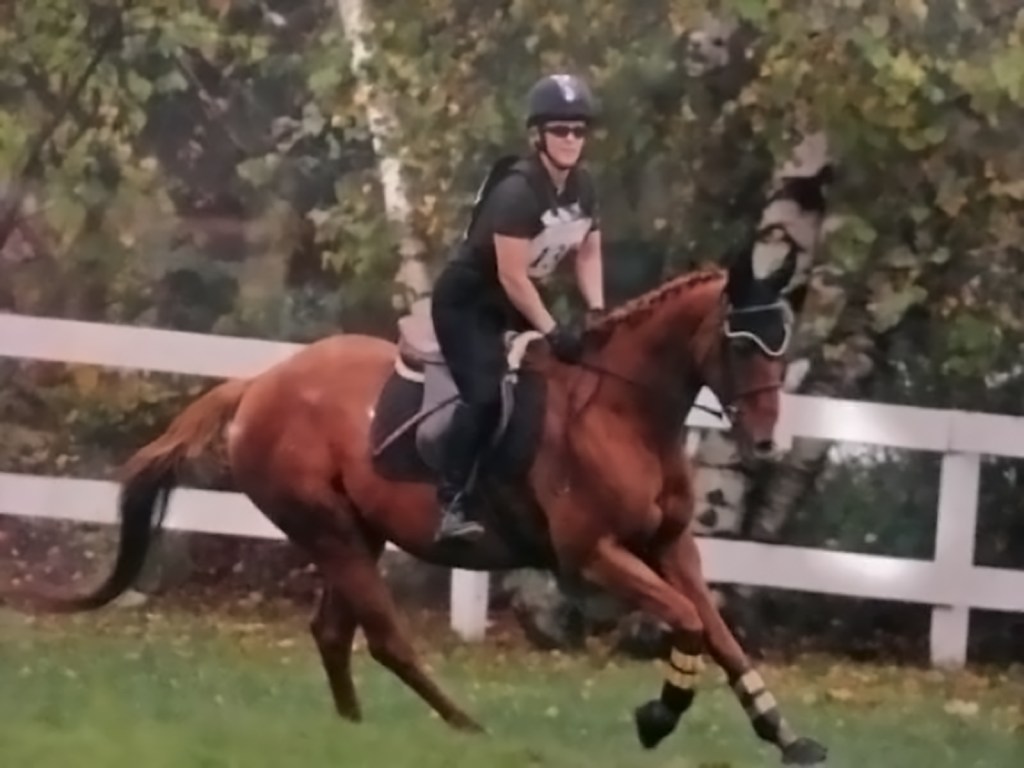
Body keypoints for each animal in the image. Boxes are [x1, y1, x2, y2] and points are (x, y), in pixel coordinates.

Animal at [8, 218, 829, 766]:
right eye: (740, 342)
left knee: (333, 632)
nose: (766, 444)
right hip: (331, 532)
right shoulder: (593, 554)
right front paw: (659, 715)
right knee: (386, 638)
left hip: (354, 533)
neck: (624, 409)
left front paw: (786, 735)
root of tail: (261, 382)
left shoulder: (671, 546)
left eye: (783, 341)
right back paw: (465, 727)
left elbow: (718, 630)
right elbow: (687, 623)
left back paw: (352, 731)